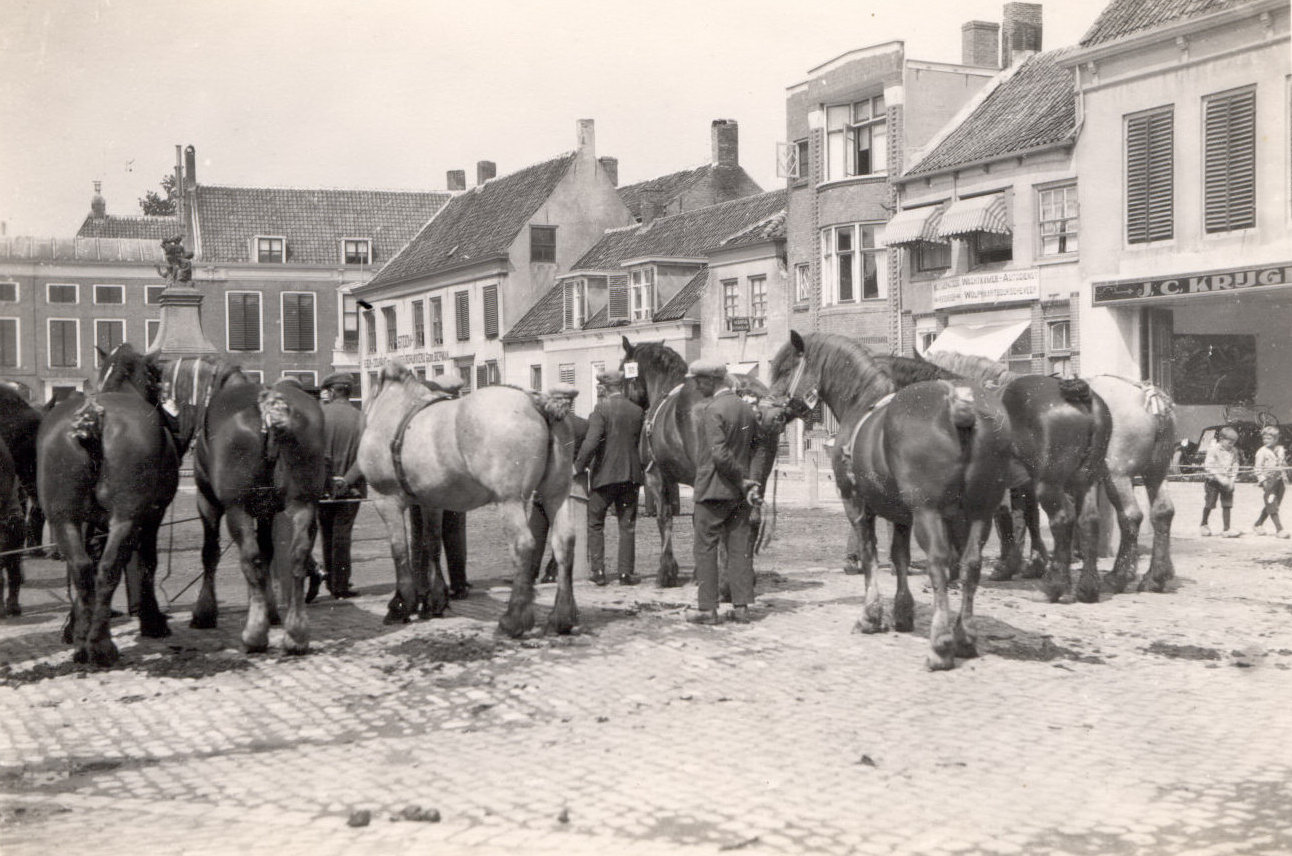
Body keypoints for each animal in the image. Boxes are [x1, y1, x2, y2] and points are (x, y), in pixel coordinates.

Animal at [38, 346, 179, 666]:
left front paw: (75, 625)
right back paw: (101, 646)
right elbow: (146, 565)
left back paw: (82, 643)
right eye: (156, 375)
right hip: (128, 517)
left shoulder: (88, 522)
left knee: (80, 567)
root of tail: (93, 419)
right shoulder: (150, 517)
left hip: (63, 517)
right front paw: (153, 621)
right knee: (108, 568)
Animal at [354, 361, 576, 635]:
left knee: (523, 545)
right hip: (556, 494)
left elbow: (399, 550)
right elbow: (431, 544)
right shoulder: (431, 502)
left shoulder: (386, 499)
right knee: (564, 542)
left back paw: (513, 619)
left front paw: (400, 605)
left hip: (511, 499)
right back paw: (561, 618)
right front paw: (434, 600)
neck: (393, 408)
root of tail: (538, 403)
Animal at [617, 338, 785, 586]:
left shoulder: (657, 475)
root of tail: (745, 395)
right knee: (751, 518)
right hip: (756, 475)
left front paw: (667, 571)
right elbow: (697, 521)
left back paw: (724, 580)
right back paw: (745, 574)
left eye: (622, 373)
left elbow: (665, 517)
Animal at [770, 330, 1012, 671]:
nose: (770, 411)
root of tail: (959, 407)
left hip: (929, 513)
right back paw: (964, 635)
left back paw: (940, 643)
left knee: (939, 562)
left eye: (784, 370)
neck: (863, 400)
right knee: (970, 565)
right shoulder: (900, 514)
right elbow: (900, 558)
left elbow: (870, 553)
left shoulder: (856, 504)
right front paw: (902, 611)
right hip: (980, 512)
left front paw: (871, 615)